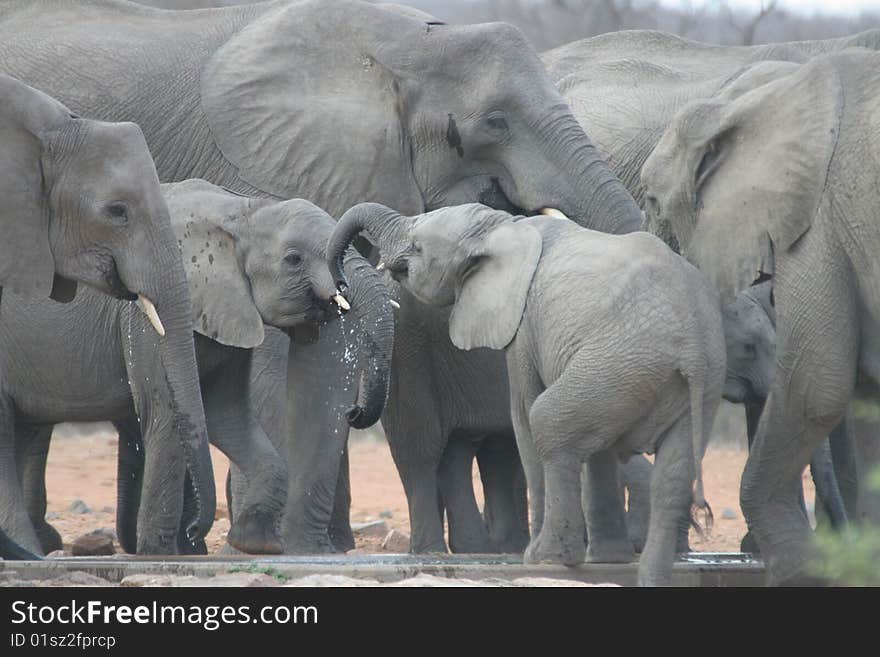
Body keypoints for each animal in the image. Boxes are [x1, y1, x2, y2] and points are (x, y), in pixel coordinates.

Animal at [326, 201, 724, 584]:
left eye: (418, 246)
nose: (339, 286)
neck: (502, 226)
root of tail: (691, 346)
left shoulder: (522, 322)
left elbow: (523, 413)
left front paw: (544, 556)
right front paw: (607, 559)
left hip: (621, 363)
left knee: (545, 421)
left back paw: (547, 556)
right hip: (681, 383)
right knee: (670, 476)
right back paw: (647, 574)